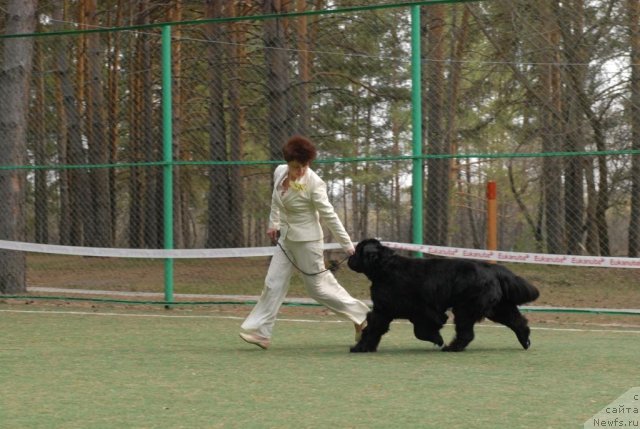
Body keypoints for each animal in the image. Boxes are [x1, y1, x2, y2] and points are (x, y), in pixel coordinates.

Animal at [350, 237, 540, 352]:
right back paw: (525, 341)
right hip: (499, 307)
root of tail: (492, 268)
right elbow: (376, 328)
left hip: (466, 308)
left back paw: (452, 347)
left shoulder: (399, 309)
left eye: (358, 251)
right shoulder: (388, 310)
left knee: (466, 332)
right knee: (518, 322)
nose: (350, 258)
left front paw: (360, 347)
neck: (384, 268)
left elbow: (417, 329)